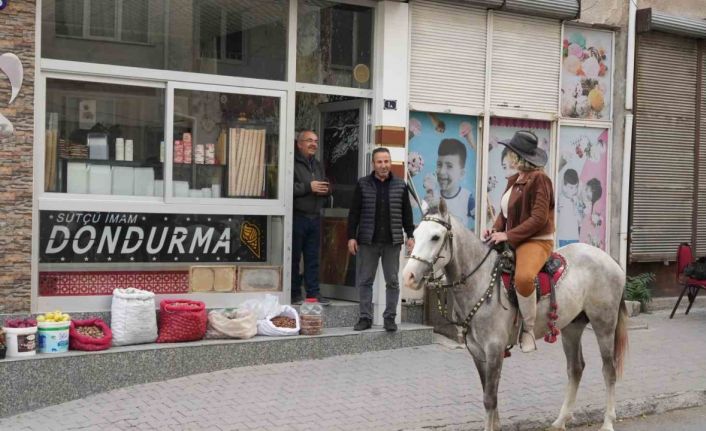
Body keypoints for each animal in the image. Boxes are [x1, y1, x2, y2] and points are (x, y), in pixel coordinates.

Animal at [402, 203, 628, 431]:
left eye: (436, 237)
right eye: (415, 234)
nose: (408, 277)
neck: (481, 280)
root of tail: (609, 259)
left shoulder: (494, 348)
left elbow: (489, 399)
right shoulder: (477, 351)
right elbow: (489, 394)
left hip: (604, 325)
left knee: (609, 370)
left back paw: (608, 421)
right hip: (572, 327)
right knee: (575, 369)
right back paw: (560, 420)